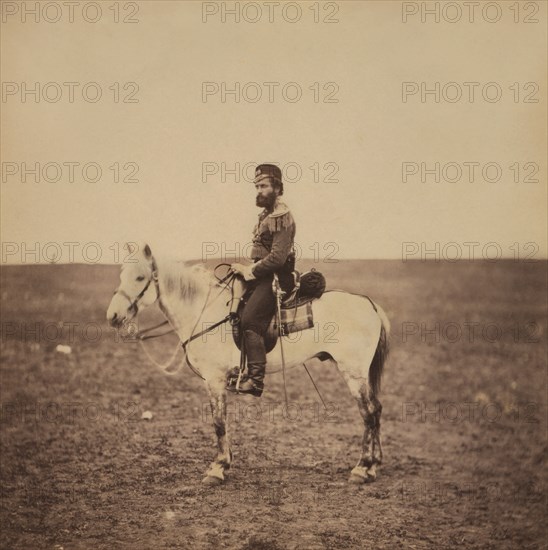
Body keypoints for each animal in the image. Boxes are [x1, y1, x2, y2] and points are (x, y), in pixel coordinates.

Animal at [107, 246, 390, 488]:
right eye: (120, 275)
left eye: (140, 277)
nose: (113, 316)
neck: (202, 311)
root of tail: (370, 304)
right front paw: (224, 463)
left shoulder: (215, 379)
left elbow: (219, 422)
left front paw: (218, 468)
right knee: (376, 410)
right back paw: (374, 466)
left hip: (353, 373)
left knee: (368, 413)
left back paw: (362, 468)